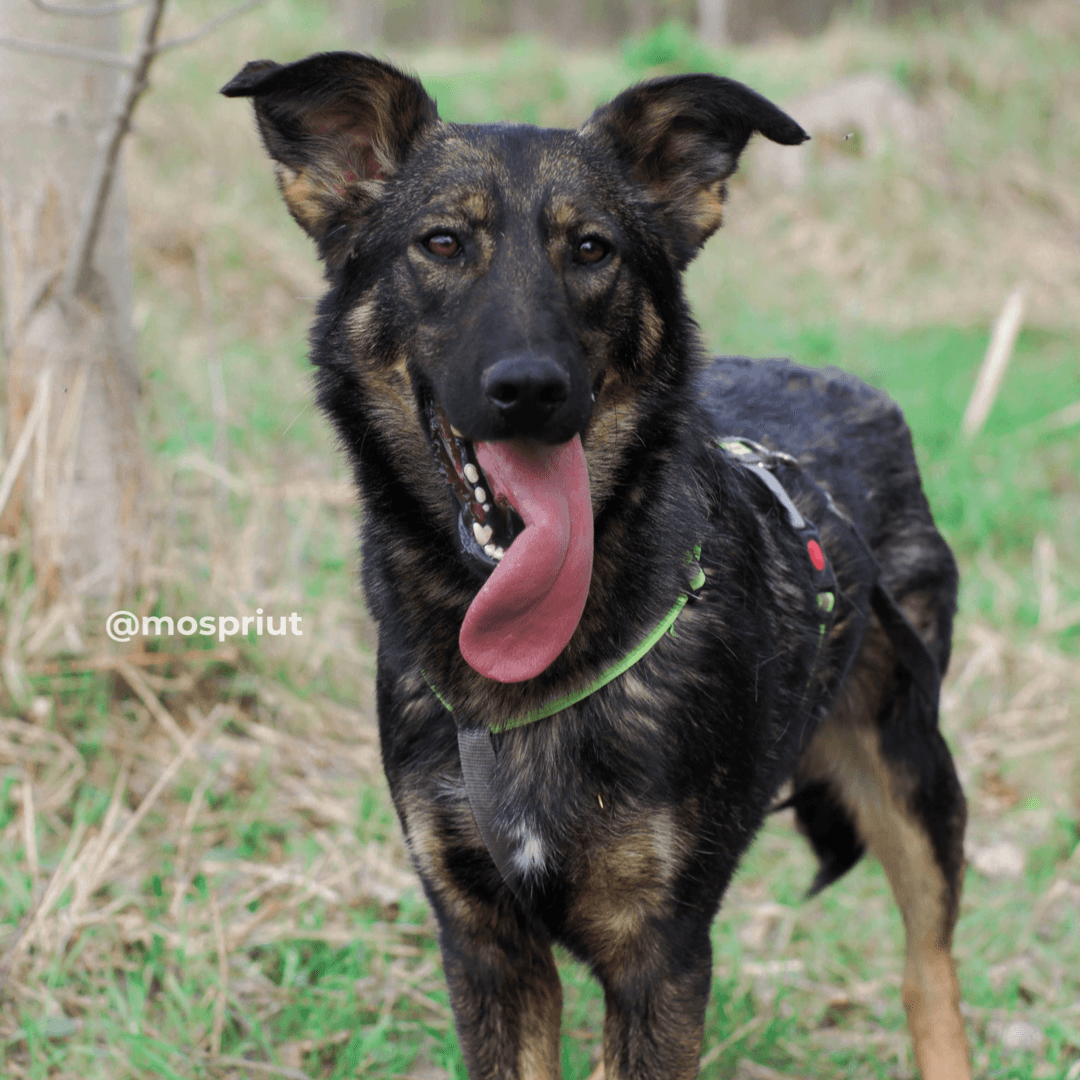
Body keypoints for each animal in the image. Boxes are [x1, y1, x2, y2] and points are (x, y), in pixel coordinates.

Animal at [221, 52, 972, 1080]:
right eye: (442, 242)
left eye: (591, 250)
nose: (531, 389)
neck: (528, 664)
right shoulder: (487, 948)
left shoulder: (659, 955)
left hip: (912, 773)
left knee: (928, 968)